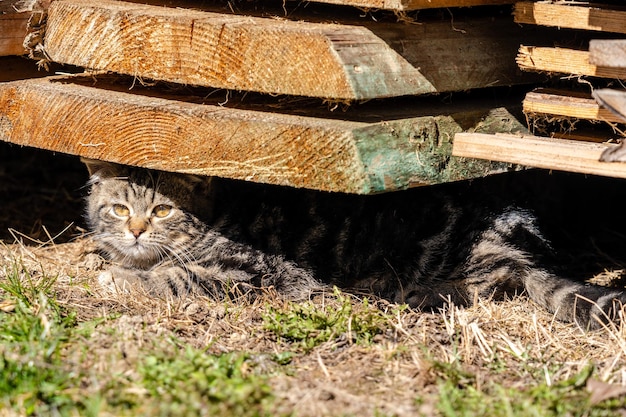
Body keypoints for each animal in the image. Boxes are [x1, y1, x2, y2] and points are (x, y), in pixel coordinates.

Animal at [83, 158, 624, 330]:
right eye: (119, 210)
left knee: (485, 286)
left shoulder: (244, 271)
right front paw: (111, 260)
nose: (135, 230)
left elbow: (173, 278)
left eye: (162, 210)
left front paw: (119, 276)